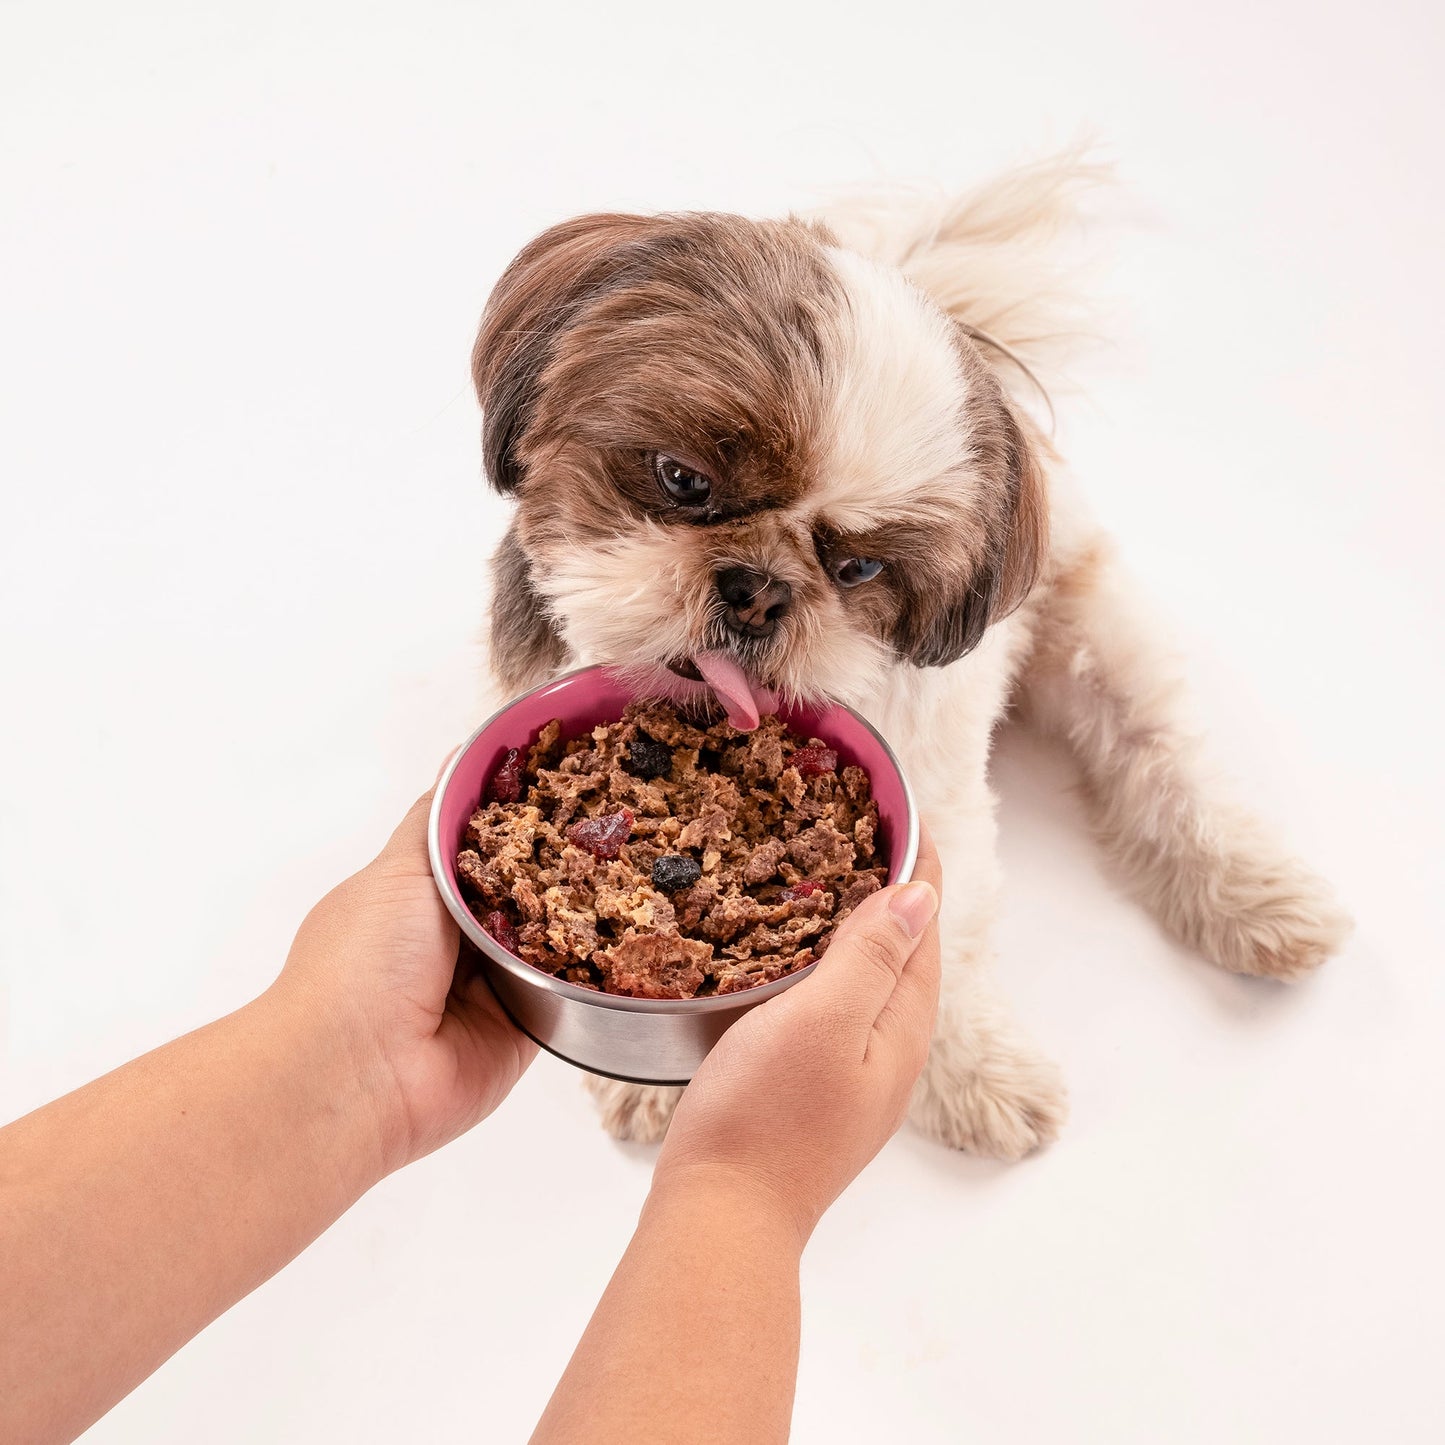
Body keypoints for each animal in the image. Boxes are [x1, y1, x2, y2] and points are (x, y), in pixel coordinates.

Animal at [465, 158, 1352, 1156]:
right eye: (683, 479)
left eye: (858, 569)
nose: (758, 590)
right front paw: (645, 1085)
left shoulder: (938, 812)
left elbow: (948, 948)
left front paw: (974, 1073)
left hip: (1100, 634)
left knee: (1164, 762)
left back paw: (1257, 899)